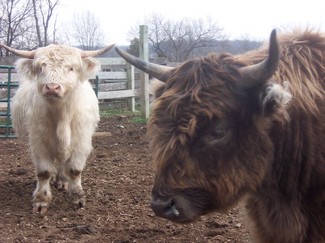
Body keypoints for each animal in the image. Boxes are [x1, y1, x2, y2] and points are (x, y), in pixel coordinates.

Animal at [0, 43, 114, 213]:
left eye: (71, 68)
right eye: (41, 67)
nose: (52, 88)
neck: (62, 117)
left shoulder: (81, 142)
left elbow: (75, 170)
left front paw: (77, 198)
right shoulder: (39, 141)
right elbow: (44, 172)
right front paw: (41, 201)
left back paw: (62, 180)